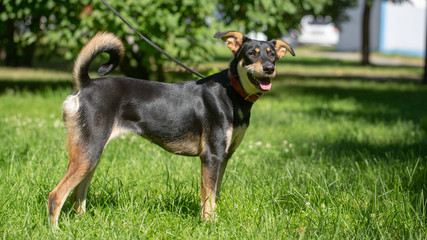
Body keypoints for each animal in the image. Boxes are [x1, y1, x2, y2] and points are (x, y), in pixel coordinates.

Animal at [46, 30, 294, 227]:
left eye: (272, 54)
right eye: (252, 53)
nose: (269, 68)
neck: (232, 92)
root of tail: (85, 85)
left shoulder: (224, 157)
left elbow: (214, 195)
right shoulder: (211, 156)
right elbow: (208, 197)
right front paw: (208, 225)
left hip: (92, 153)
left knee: (77, 193)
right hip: (89, 151)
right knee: (56, 195)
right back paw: (56, 231)